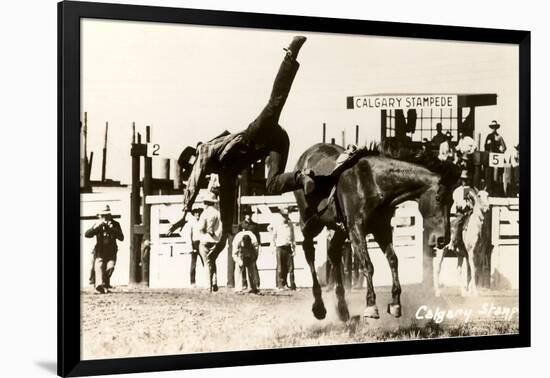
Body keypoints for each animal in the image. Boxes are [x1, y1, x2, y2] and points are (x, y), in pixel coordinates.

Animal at [294, 142, 462, 322]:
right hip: (310, 222)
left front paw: (395, 304)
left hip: (339, 229)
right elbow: (368, 265)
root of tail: (305, 156)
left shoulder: (381, 229)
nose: (443, 239)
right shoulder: (356, 230)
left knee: (333, 253)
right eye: (438, 198)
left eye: (452, 201)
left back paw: (342, 308)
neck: (373, 183)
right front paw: (371, 305)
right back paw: (319, 306)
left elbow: (393, 260)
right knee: (308, 250)